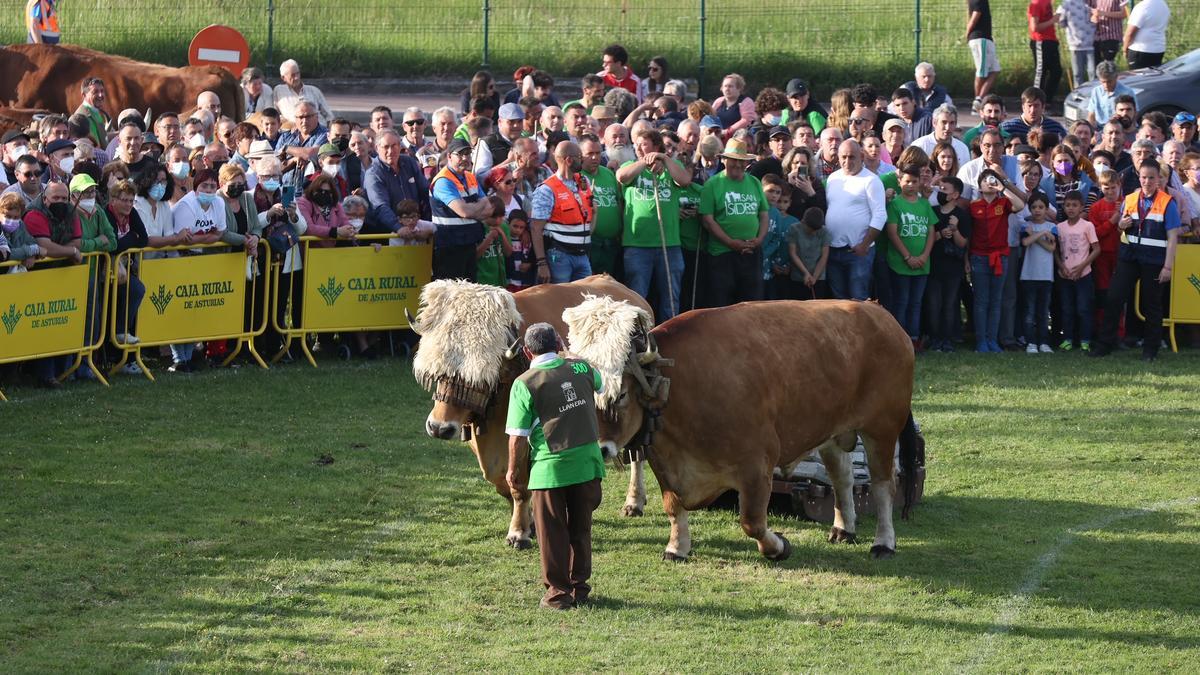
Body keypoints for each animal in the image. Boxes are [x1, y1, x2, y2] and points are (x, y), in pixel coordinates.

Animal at [412, 273, 657, 547]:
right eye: (438, 373)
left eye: (476, 380)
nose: (439, 428)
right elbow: (504, 485)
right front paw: (528, 523)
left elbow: (519, 484)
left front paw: (519, 531)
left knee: (637, 454)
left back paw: (634, 501)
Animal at [564, 297, 916, 557]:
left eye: (621, 394)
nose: (599, 449)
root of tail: (878, 311)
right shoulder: (664, 461)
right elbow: (673, 505)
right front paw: (677, 547)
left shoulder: (757, 463)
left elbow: (752, 521)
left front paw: (778, 546)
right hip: (832, 430)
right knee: (842, 477)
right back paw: (844, 528)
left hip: (883, 428)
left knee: (884, 486)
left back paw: (884, 542)